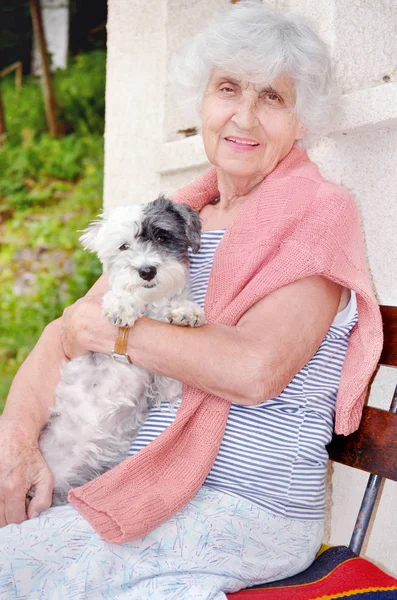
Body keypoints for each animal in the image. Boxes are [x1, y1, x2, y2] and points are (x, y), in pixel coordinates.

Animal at [36, 198, 204, 506]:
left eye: (163, 237)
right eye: (123, 246)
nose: (147, 270)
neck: (149, 306)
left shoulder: (165, 386)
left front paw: (185, 310)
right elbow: (120, 297)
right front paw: (122, 304)